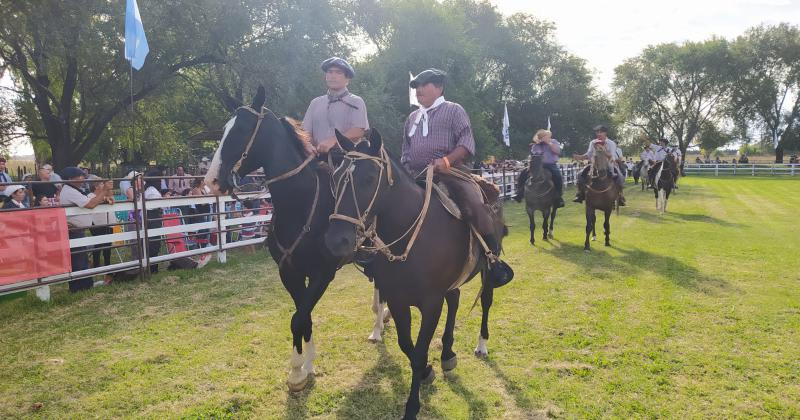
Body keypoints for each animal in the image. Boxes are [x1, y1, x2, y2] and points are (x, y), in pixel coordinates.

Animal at [322, 131, 504, 420]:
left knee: (485, 301)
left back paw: (482, 345)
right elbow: (407, 346)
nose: (336, 240)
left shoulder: (430, 304)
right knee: (455, 299)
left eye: (369, 178)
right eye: (336, 177)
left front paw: (412, 406)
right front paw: (429, 371)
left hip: (488, 269)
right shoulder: (398, 301)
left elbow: (418, 352)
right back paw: (447, 354)